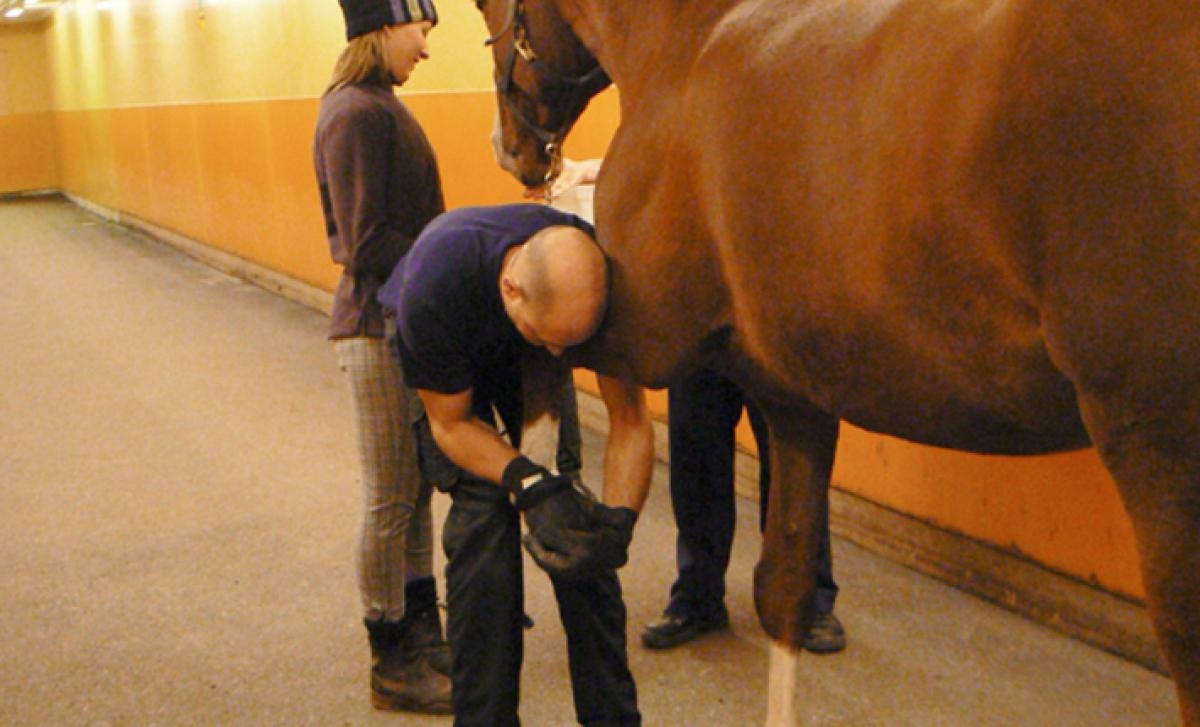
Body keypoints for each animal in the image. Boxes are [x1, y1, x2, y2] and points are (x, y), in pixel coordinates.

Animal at [472, 1, 1200, 724]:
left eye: (487, 10)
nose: (507, 149)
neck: (691, 45)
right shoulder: (793, 400)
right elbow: (784, 587)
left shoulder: (647, 330)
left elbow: (543, 341)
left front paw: (547, 501)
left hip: (1157, 454)